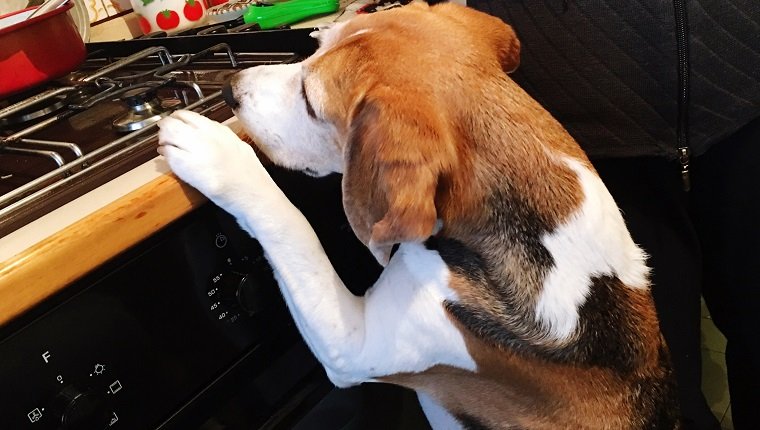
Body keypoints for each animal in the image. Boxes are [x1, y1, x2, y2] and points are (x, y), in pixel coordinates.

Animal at [157, 2, 680, 426]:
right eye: (316, 46)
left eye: (309, 99)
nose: (230, 89)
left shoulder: (353, 343)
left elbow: (292, 225)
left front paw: (215, 154)